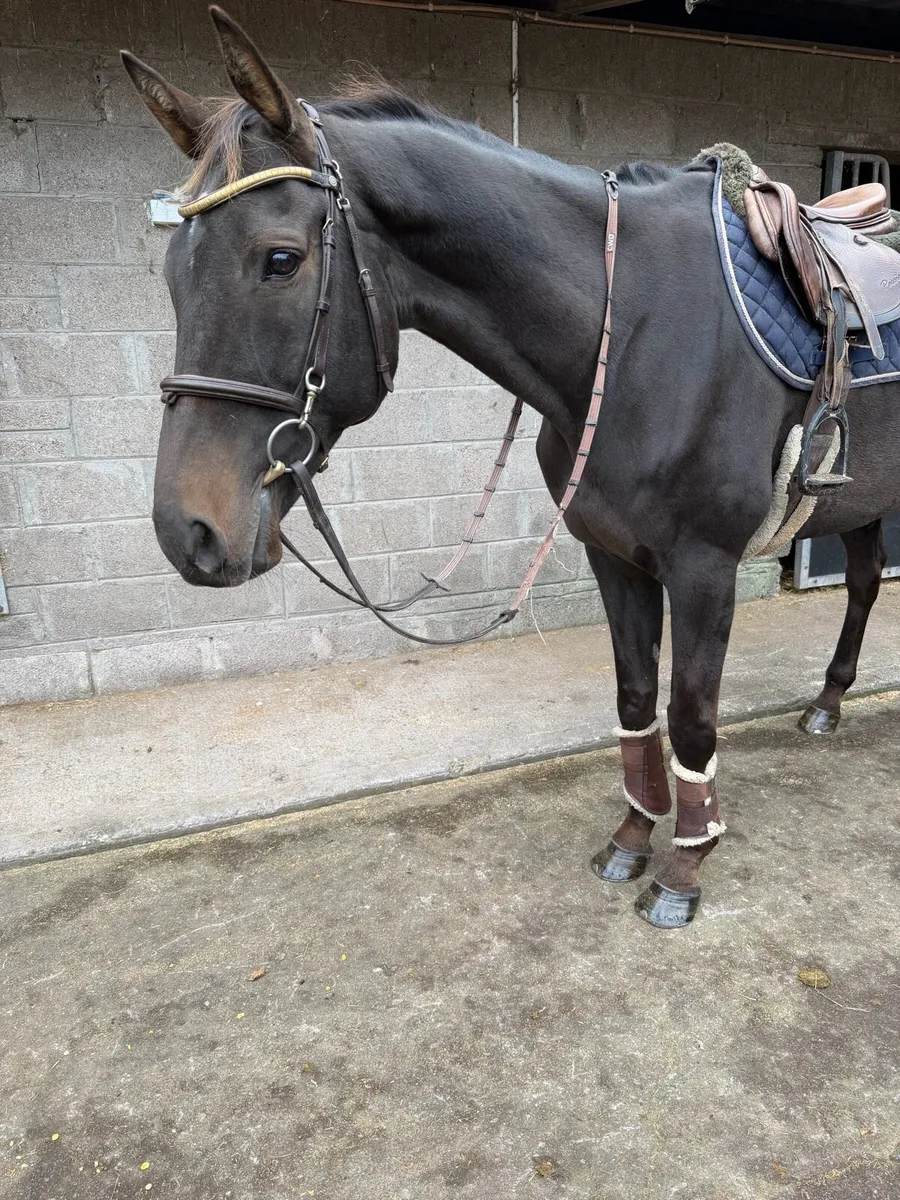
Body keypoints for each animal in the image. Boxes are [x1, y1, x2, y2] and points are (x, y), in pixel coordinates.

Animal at [121, 5, 899, 927]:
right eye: (173, 271)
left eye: (280, 259)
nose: (188, 530)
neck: (632, 328)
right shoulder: (613, 554)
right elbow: (635, 700)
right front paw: (631, 840)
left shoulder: (703, 567)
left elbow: (691, 717)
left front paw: (684, 870)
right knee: (862, 579)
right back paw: (827, 704)